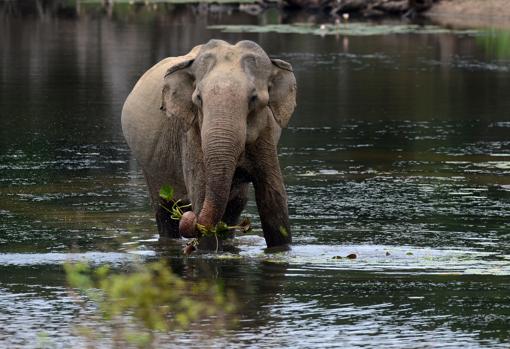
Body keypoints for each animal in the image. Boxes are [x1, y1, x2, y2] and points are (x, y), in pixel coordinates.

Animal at [121, 39, 296, 249]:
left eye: (254, 98)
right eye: (198, 98)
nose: (189, 218)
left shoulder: (266, 134)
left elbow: (273, 200)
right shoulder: (190, 135)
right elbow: (200, 195)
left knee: (235, 204)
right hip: (151, 169)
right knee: (164, 209)